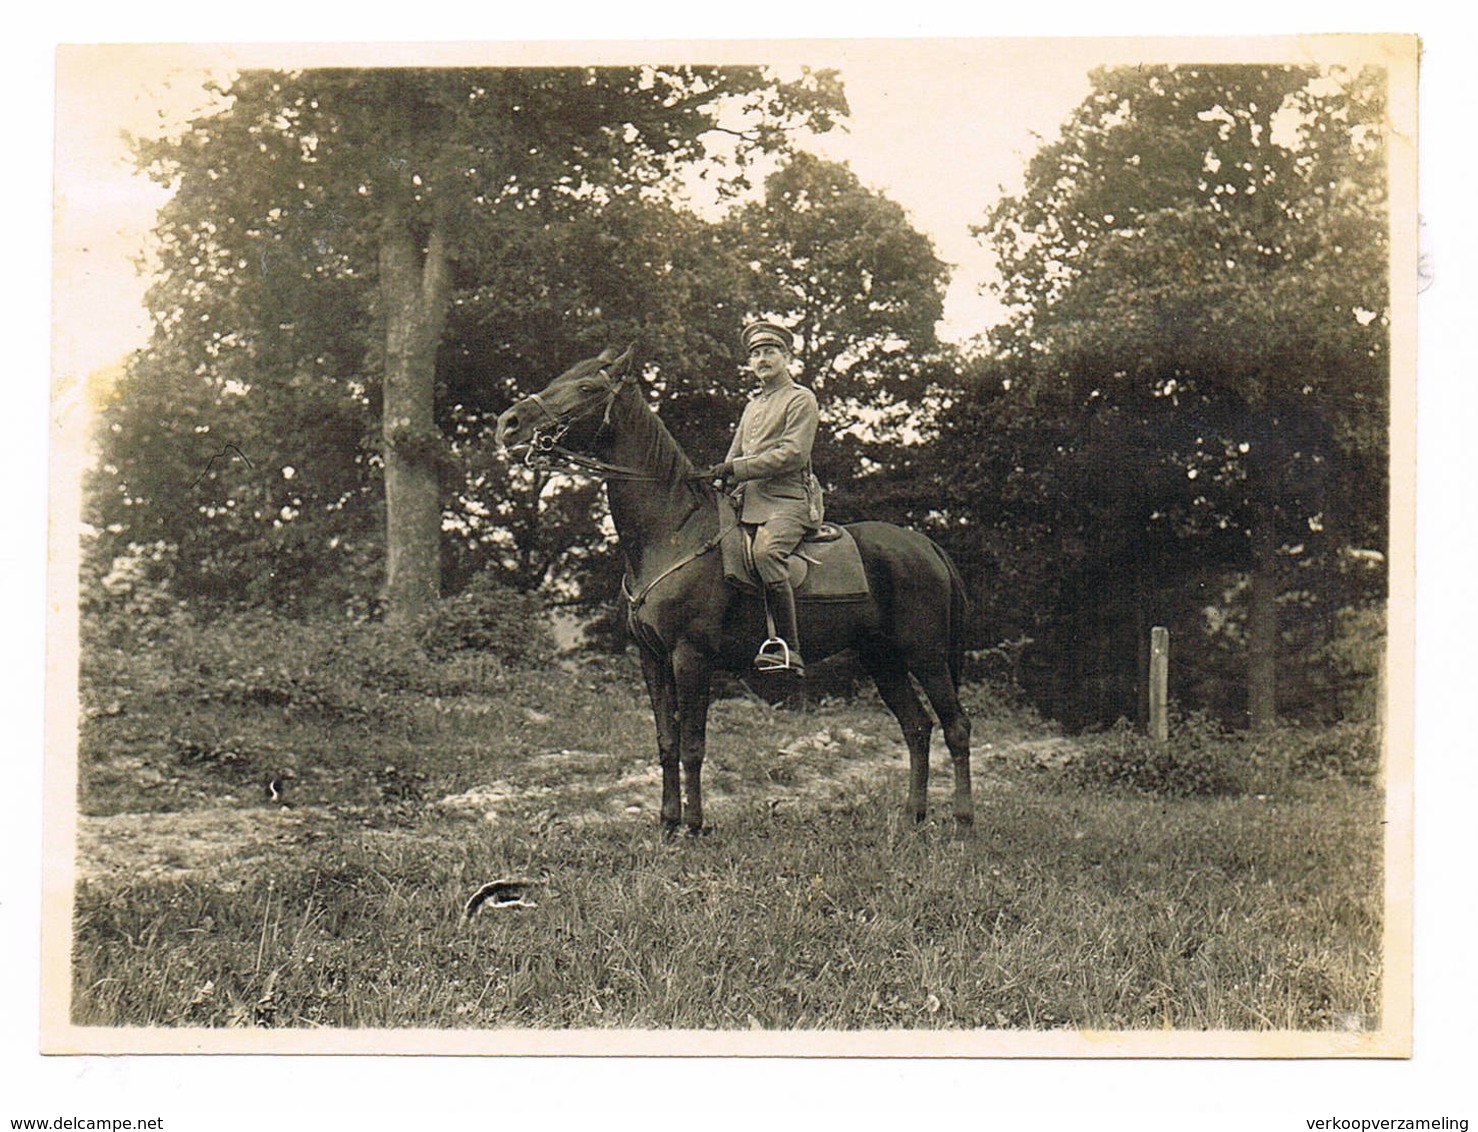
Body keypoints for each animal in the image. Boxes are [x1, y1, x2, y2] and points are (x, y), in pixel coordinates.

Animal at [496, 342, 975, 833]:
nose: (509, 422)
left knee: (955, 727)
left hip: (925, 655)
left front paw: (693, 825)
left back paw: (962, 820)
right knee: (916, 727)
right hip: (882, 658)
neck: (671, 533)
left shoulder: (691, 657)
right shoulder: (652, 659)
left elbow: (692, 745)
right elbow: (666, 742)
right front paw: (667, 823)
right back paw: (913, 816)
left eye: (587, 387)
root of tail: (925, 545)